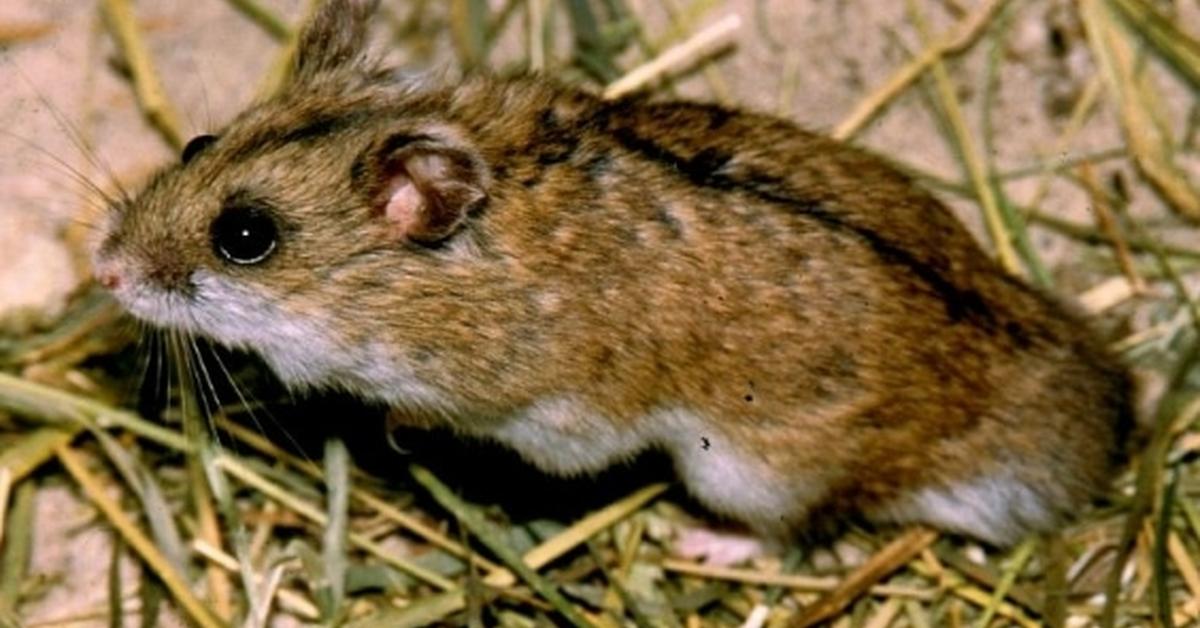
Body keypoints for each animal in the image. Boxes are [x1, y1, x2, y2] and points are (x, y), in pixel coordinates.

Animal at [91, 0, 1132, 549]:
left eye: (245, 236)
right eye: (197, 141)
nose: (102, 272)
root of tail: (1095, 442)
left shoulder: (552, 420)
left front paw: (392, 430)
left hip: (752, 470)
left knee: (795, 528)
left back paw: (694, 538)